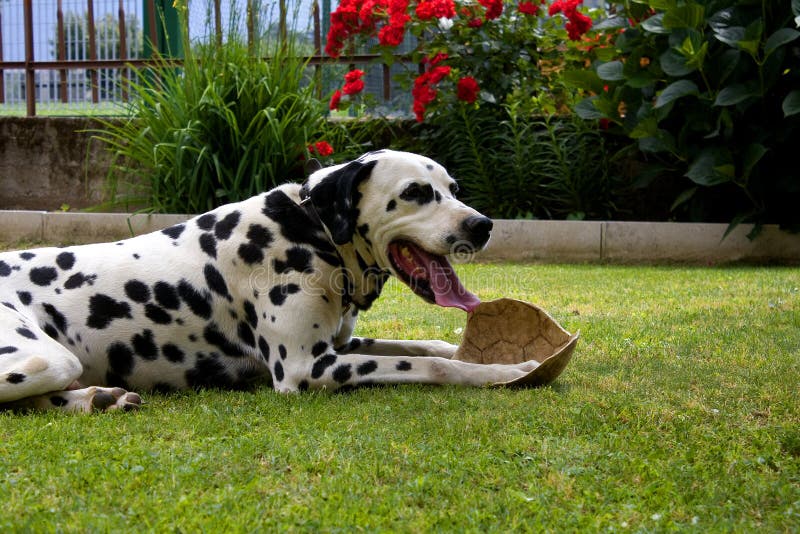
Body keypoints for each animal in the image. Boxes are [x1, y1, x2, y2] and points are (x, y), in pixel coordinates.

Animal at [3, 151, 536, 414]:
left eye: (453, 189)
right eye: (415, 193)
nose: (482, 225)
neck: (312, 230)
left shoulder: (340, 343)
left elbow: (432, 347)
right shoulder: (308, 367)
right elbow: (433, 366)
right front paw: (508, 371)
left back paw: (95, 398)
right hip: (48, 359)